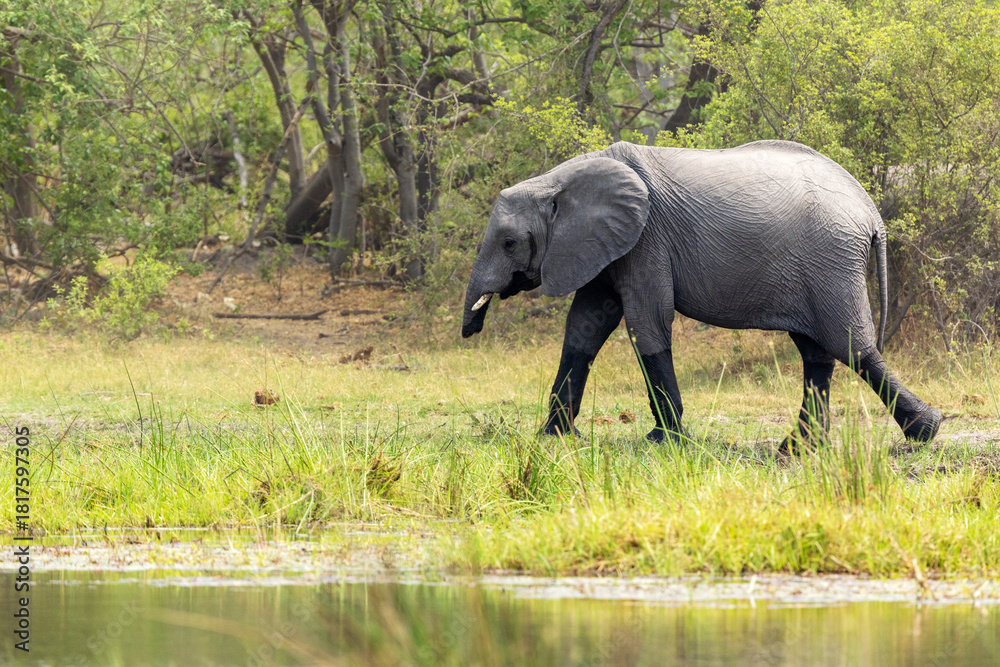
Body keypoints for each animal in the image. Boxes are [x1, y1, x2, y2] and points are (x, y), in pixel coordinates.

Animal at [461, 140, 942, 447]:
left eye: (509, 243)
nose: (471, 329)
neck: (558, 179)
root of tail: (871, 212)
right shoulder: (605, 245)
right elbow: (585, 327)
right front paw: (557, 438)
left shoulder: (646, 239)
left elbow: (647, 323)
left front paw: (665, 441)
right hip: (818, 268)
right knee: (817, 353)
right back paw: (799, 448)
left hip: (830, 262)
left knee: (853, 348)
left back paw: (925, 431)